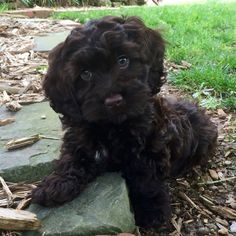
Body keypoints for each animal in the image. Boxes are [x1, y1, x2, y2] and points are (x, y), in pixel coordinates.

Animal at [31, 15, 218, 228]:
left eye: (123, 60)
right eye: (85, 74)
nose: (114, 101)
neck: (113, 126)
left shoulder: (151, 146)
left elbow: (146, 179)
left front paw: (152, 210)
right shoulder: (79, 138)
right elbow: (71, 158)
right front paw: (55, 184)